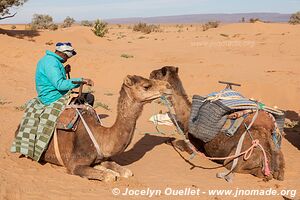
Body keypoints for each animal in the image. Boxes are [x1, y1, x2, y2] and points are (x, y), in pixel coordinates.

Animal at [23, 75, 171, 181]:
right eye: (146, 86)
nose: (169, 85)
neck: (101, 137)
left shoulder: (105, 157)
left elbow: (127, 172)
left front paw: (105, 168)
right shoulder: (74, 164)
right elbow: (110, 177)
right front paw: (107, 172)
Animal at [150, 66, 286, 180]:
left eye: (157, 74)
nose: (150, 73)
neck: (187, 117)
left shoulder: (193, 144)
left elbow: (175, 143)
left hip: (238, 158)